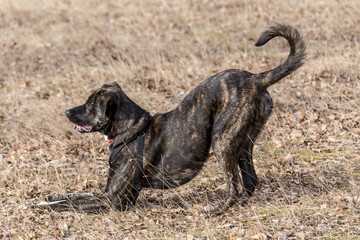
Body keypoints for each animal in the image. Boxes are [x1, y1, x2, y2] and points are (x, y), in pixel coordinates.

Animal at [33, 23, 306, 214]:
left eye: (90, 104)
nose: (66, 111)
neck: (130, 132)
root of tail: (257, 79)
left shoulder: (114, 200)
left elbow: (71, 204)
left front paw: (47, 208)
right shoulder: (105, 193)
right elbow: (75, 195)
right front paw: (46, 199)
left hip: (222, 140)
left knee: (236, 185)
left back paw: (216, 211)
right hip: (243, 143)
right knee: (250, 181)